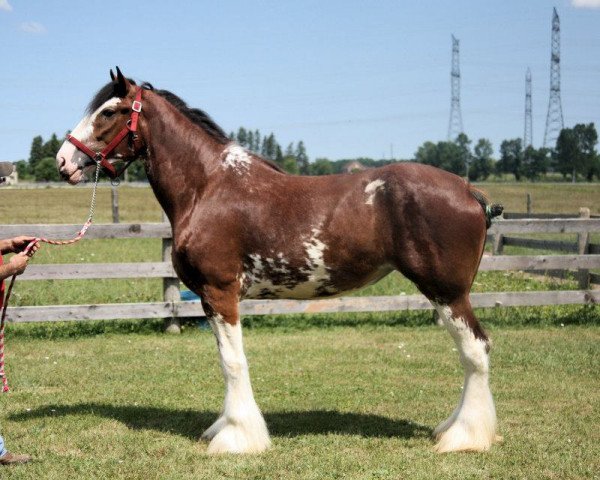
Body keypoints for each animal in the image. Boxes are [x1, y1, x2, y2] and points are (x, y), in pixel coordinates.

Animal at [56, 67, 504, 454]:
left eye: (107, 111)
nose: (63, 161)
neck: (208, 187)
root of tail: (468, 190)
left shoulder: (221, 293)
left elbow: (233, 363)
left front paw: (237, 438)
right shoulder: (208, 299)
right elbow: (226, 362)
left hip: (447, 292)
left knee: (475, 350)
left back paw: (463, 436)